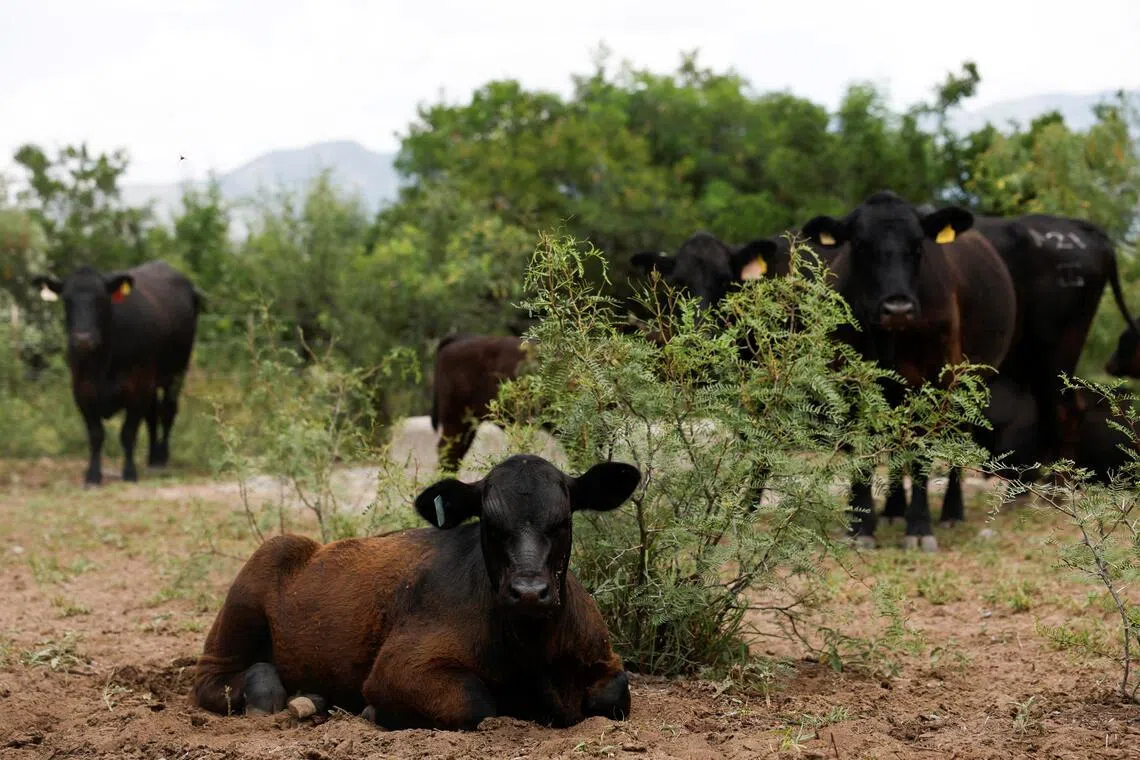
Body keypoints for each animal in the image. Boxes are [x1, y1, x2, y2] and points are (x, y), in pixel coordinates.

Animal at [31, 261, 202, 486]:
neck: (103, 363)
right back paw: (152, 457)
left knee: (167, 411)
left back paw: (161, 457)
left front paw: (129, 472)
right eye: (67, 300)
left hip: (176, 373)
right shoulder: (82, 390)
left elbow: (128, 433)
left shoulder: (138, 386)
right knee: (153, 414)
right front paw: (93, 475)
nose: (83, 339)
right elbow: (96, 435)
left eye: (102, 298)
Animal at [193, 454, 640, 730]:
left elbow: (615, 694)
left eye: (563, 521)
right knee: (214, 678)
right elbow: (475, 702)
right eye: (490, 524)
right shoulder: (398, 667)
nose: (529, 592)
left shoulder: (602, 657)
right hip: (251, 588)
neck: (532, 655)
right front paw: (374, 712)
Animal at [802, 191, 1018, 551]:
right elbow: (862, 449)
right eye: (860, 244)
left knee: (956, 439)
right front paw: (861, 524)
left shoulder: (934, 381)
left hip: (969, 385)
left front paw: (919, 527)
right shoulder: (850, 383)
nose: (897, 307)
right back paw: (892, 509)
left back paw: (951, 512)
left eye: (918, 246)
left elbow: (920, 455)